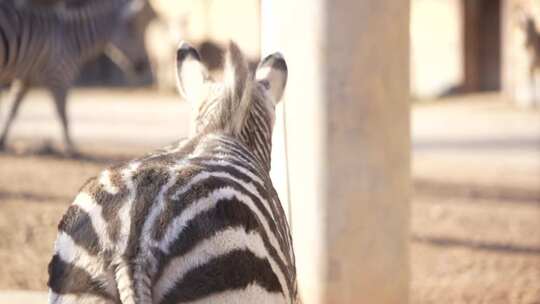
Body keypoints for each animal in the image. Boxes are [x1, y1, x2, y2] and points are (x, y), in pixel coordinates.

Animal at [0, 0, 148, 153]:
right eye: (132, 29)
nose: (143, 66)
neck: (74, 39)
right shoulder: (60, 75)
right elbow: (63, 114)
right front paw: (70, 147)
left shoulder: (25, 79)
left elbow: (12, 109)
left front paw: (2, 140)